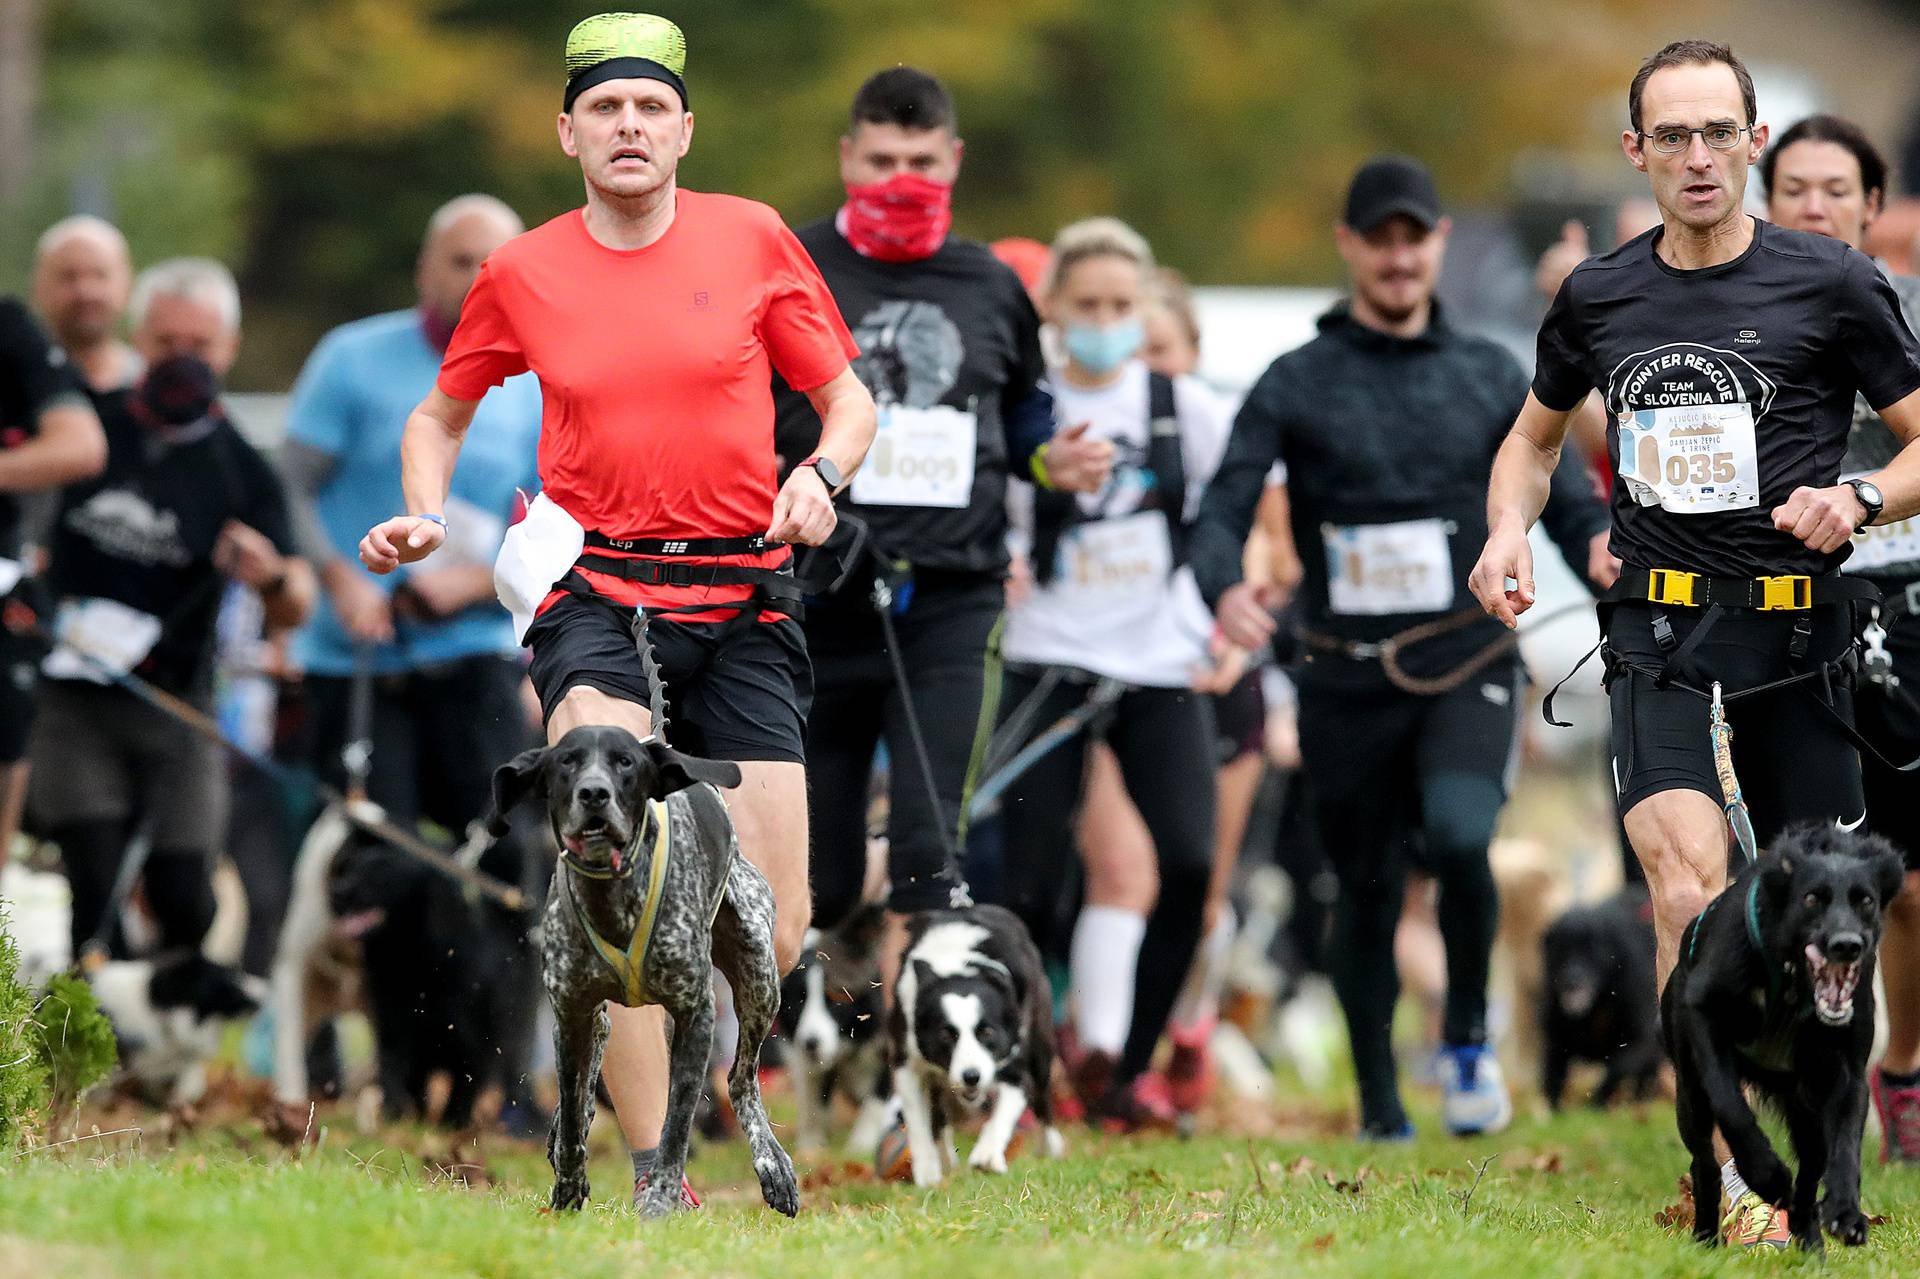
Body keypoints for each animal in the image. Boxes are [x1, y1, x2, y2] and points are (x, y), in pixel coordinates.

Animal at [495, 725, 802, 1213]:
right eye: (566, 762)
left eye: (626, 763)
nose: (594, 794)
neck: (612, 897)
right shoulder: (569, 1011)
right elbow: (572, 1118)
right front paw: (567, 1191)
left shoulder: (696, 1014)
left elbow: (676, 1126)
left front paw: (661, 1200)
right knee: (601, 1038)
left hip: (760, 970)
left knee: (740, 1079)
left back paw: (772, 1163)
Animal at [887, 894, 1067, 1182]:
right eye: (947, 1034)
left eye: (987, 1032)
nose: (971, 1076)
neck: (957, 967)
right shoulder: (907, 1063)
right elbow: (917, 1123)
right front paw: (927, 1172)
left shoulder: (1015, 1064)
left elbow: (1003, 1115)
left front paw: (987, 1156)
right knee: (938, 1115)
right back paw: (946, 1160)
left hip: (1041, 1047)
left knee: (1042, 1100)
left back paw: (1048, 1147)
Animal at [1658, 821, 1912, 1252]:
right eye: (1811, 898)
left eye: (1865, 901)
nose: (1847, 945)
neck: (1793, 980)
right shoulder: (1704, 1016)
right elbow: (1732, 1107)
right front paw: (1767, 1175)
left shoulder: (1847, 1069)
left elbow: (1846, 1144)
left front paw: (1845, 1212)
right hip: (1690, 1096)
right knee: (1704, 1161)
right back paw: (1707, 1234)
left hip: (1806, 1102)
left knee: (1811, 1169)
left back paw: (1809, 1238)